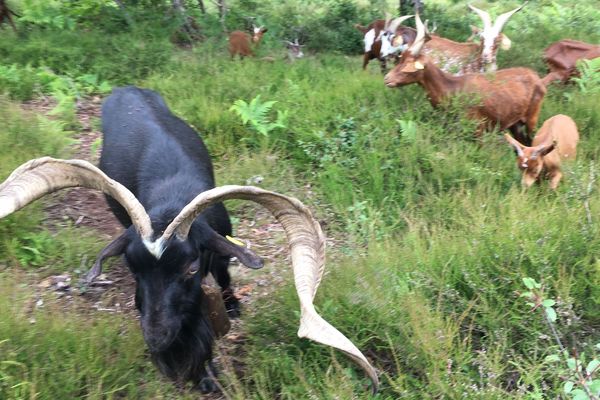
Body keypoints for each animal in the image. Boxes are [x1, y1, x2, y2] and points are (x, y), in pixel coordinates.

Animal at [382, 14, 548, 145]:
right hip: (515, 123)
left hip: (533, 116)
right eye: (400, 59)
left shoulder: (477, 126)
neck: (451, 90)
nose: (386, 79)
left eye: (408, 65)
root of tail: (539, 79)